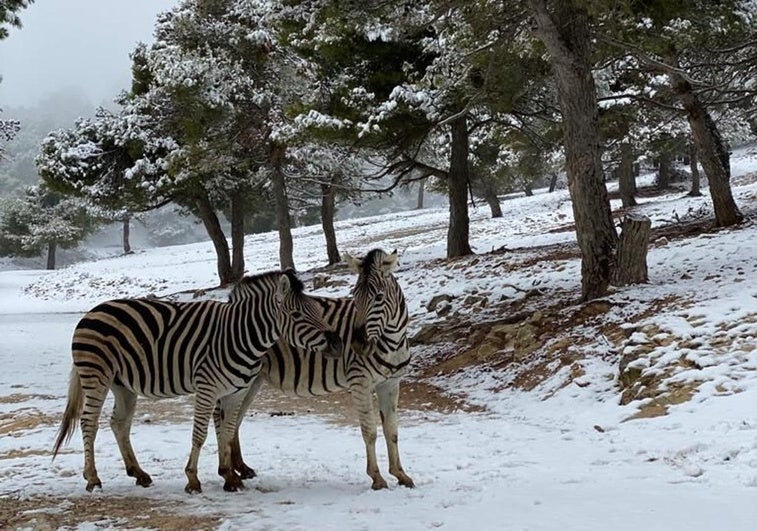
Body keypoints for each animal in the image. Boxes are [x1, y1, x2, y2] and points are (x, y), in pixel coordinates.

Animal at [49, 270, 340, 494]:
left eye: (317, 310)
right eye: (297, 315)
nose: (337, 343)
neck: (241, 335)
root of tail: (92, 312)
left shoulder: (236, 391)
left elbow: (227, 431)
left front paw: (230, 478)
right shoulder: (207, 388)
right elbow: (200, 434)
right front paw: (193, 480)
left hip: (123, 384)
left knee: (119, 423)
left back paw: (139, 473)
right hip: (97, 376)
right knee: (89, 422)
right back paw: (93, 479)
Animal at [214, 249, 414, 490]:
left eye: (379, 298)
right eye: (354, 296)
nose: (357, 345)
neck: (392, 341)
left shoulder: (391, 384)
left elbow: (392, 431)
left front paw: (401, 475)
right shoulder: (361, 382)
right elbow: (370, 432)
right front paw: (377, 478)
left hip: (252, 380)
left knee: (233, 421)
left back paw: (241, 469)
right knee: (223, 419)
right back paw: (229, 473)